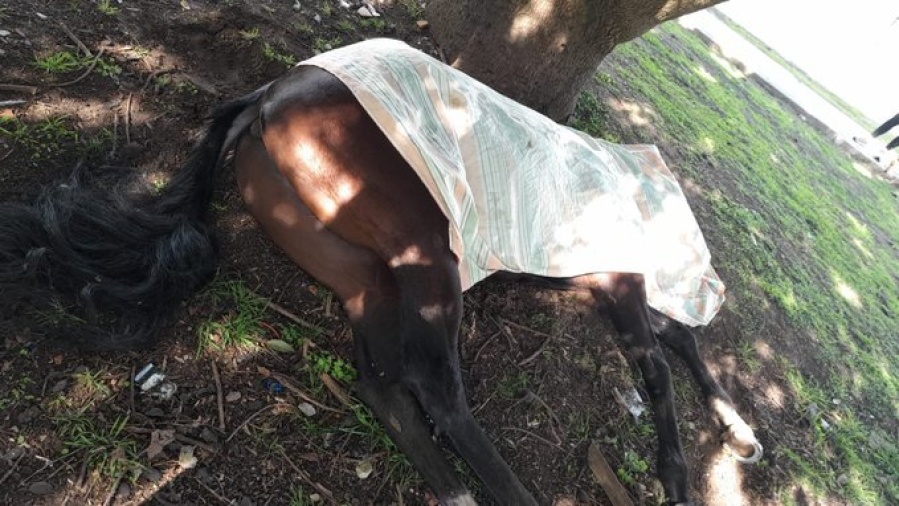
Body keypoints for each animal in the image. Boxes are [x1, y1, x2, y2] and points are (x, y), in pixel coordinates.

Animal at [0, 40, 762, 505]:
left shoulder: (588, 280)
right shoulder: (617, 280)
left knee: (381, 381)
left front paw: (736, 429)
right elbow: (658, 365)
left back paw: (454, 489)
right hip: (426, 252)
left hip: (363, 272)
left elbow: (676, 343)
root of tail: (269, 95)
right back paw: (504, 490)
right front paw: (680, 472)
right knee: (434, 383)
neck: (641, 190)